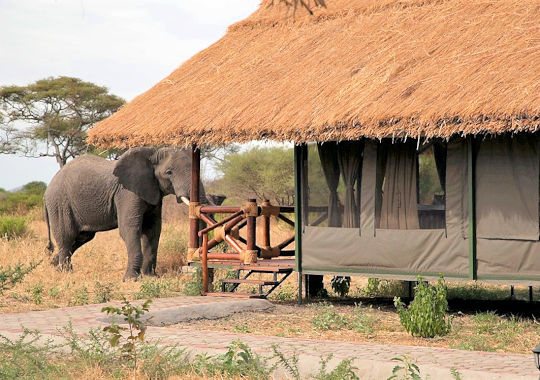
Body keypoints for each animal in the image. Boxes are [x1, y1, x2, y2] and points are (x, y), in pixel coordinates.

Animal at [44, 147, 207, 280]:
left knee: (81, 238)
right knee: (67, 237)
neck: (152, 155)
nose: (192, 262)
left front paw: (151, 277)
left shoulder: (153, 192)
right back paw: (66, 273)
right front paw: (132, 279)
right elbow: (130, 228)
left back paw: (54, 266)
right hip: (60, 203)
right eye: (169, 172)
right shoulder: (127, 193)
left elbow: (153, 229)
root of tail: (47, 190)